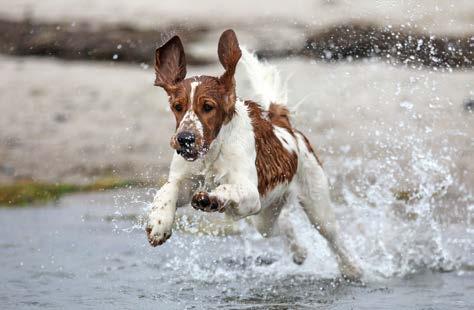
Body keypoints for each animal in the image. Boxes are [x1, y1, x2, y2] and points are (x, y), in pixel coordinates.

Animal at [146, 29, 362, 280]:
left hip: (315, 202)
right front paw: (159, 224)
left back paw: (352, 268)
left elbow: (227, 187)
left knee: (333, 236)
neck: (213, 152)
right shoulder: (186, 180)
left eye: (208, 107)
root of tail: (284, 124)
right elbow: (167, 189)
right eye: (177, 106)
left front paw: (212, 198)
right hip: (265, 217)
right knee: (283, 225)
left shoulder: (250, 194)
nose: (185, 139)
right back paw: (299, 253)